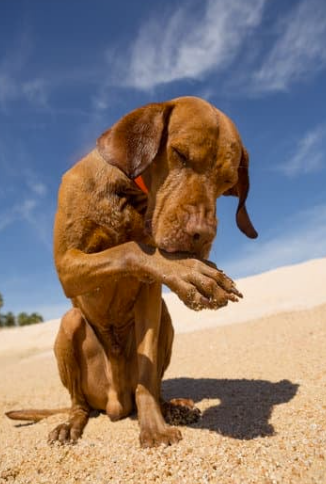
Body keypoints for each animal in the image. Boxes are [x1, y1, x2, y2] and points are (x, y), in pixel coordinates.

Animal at [5, 96, 258, 448]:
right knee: (78, 403)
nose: (203, 235)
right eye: (179, 154)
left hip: (164, 321)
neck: (130, 189)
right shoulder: (66, 266)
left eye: (227, 183)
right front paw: (190, 272)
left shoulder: (150, 302)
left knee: (150, 381)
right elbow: (131, 249)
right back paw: (70, 424)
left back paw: (171, 407)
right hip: (71, 328)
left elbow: (147, 375)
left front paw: (154, 427)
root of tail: (115, 404)